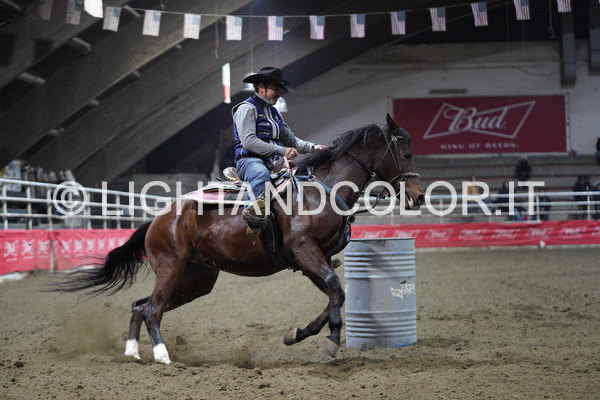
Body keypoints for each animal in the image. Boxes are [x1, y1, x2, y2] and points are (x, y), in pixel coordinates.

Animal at [57, 114, 425, 364]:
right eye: (406, 153)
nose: (419, 196)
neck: (324, 189)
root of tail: (159, 219)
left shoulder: (314, 260)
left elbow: (337, 294)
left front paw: (297, 334)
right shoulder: (305, 251)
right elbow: (335, 289)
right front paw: (333, 339)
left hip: (196, 279)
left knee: (139, 305)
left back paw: (133, 353)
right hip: (171, 268)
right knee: (152, 310)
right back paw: (162, 356)